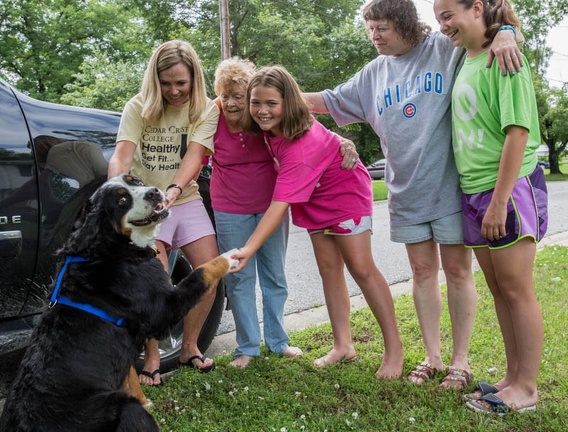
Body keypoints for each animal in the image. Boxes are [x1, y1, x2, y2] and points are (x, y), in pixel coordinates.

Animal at [0, 175, 237, 432]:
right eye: (122, 201)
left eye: (136, 181)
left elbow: (130, 375)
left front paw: (145, 399)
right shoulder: (165, 307)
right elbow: (202, 271)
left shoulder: (128, 337)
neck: (113, 249)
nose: (154, 192)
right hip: (124, 410)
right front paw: (231, 257)